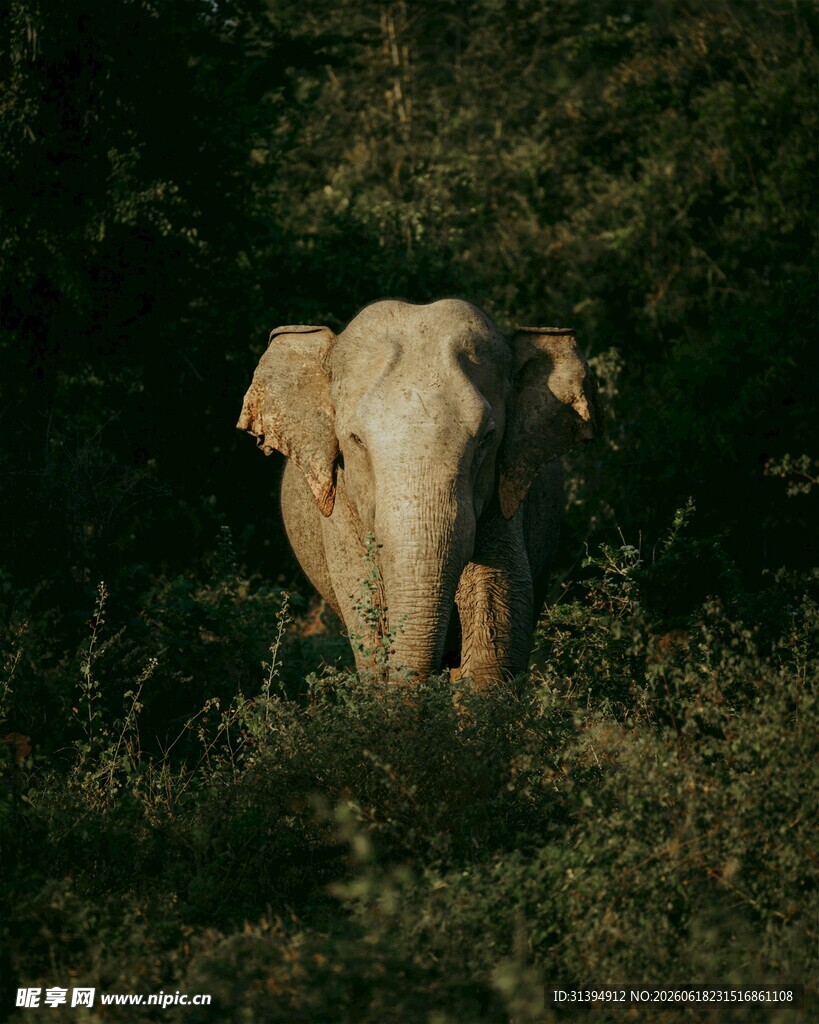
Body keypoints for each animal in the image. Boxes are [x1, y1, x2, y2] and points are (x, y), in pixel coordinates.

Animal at [237, 299, 600, 686]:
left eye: (487, 438)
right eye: (356, 440)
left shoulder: (505, 501)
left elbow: (496, 630)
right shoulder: (340, 509)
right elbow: (367, 612)